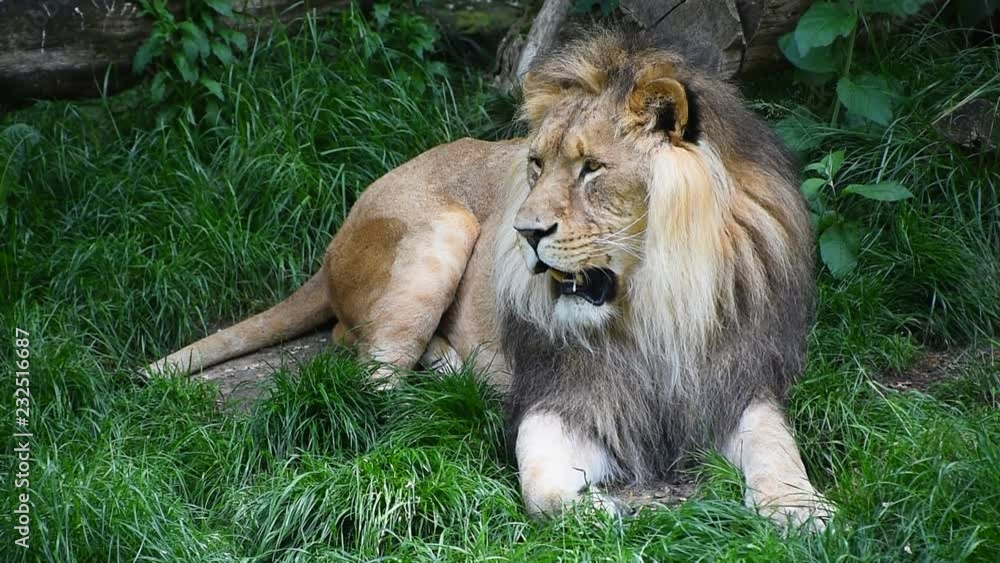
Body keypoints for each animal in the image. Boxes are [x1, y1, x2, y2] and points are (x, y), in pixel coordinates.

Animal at [150, 29, 836, 528]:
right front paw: (605, 511)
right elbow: (542, 485)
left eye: (592, 169)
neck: (652, 308)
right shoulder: (562, 394)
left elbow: (777, 448)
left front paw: (800, 511)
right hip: (444, 229)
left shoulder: (737, 381)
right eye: (535, 164)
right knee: (369, 377)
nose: (524, 232)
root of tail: (332, 246)